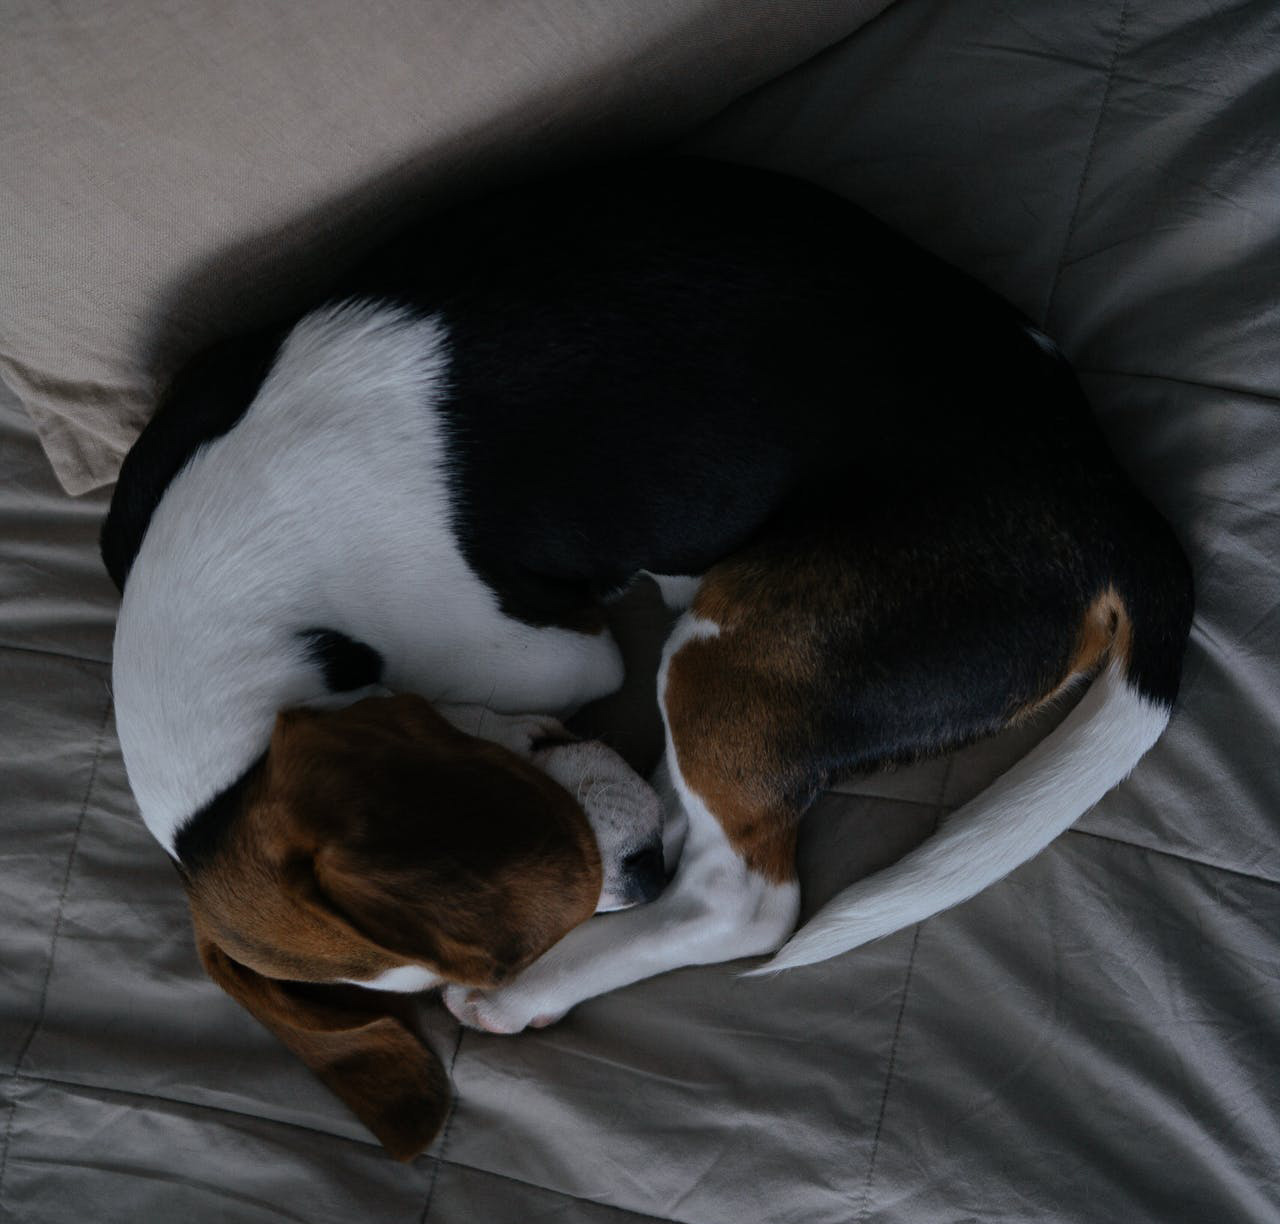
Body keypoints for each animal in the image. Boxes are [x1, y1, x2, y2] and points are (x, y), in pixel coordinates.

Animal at [99, 157, 1187, 1162]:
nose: (640, 873)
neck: (214, 591)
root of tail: (1104, 503)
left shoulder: (555, 662)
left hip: (727, 648)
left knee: (742, 899)